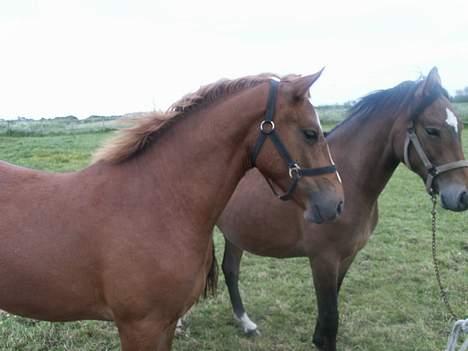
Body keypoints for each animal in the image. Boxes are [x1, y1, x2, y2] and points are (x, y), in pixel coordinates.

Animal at [218, 67, 468, 350]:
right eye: (432, 130)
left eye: (459, 127)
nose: (462, 196)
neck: (349, 181)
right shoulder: (323, 260)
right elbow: (330, 319)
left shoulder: (346, 257)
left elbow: (330, 312)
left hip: (235, 233)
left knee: (230, 269)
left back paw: (245, 322)